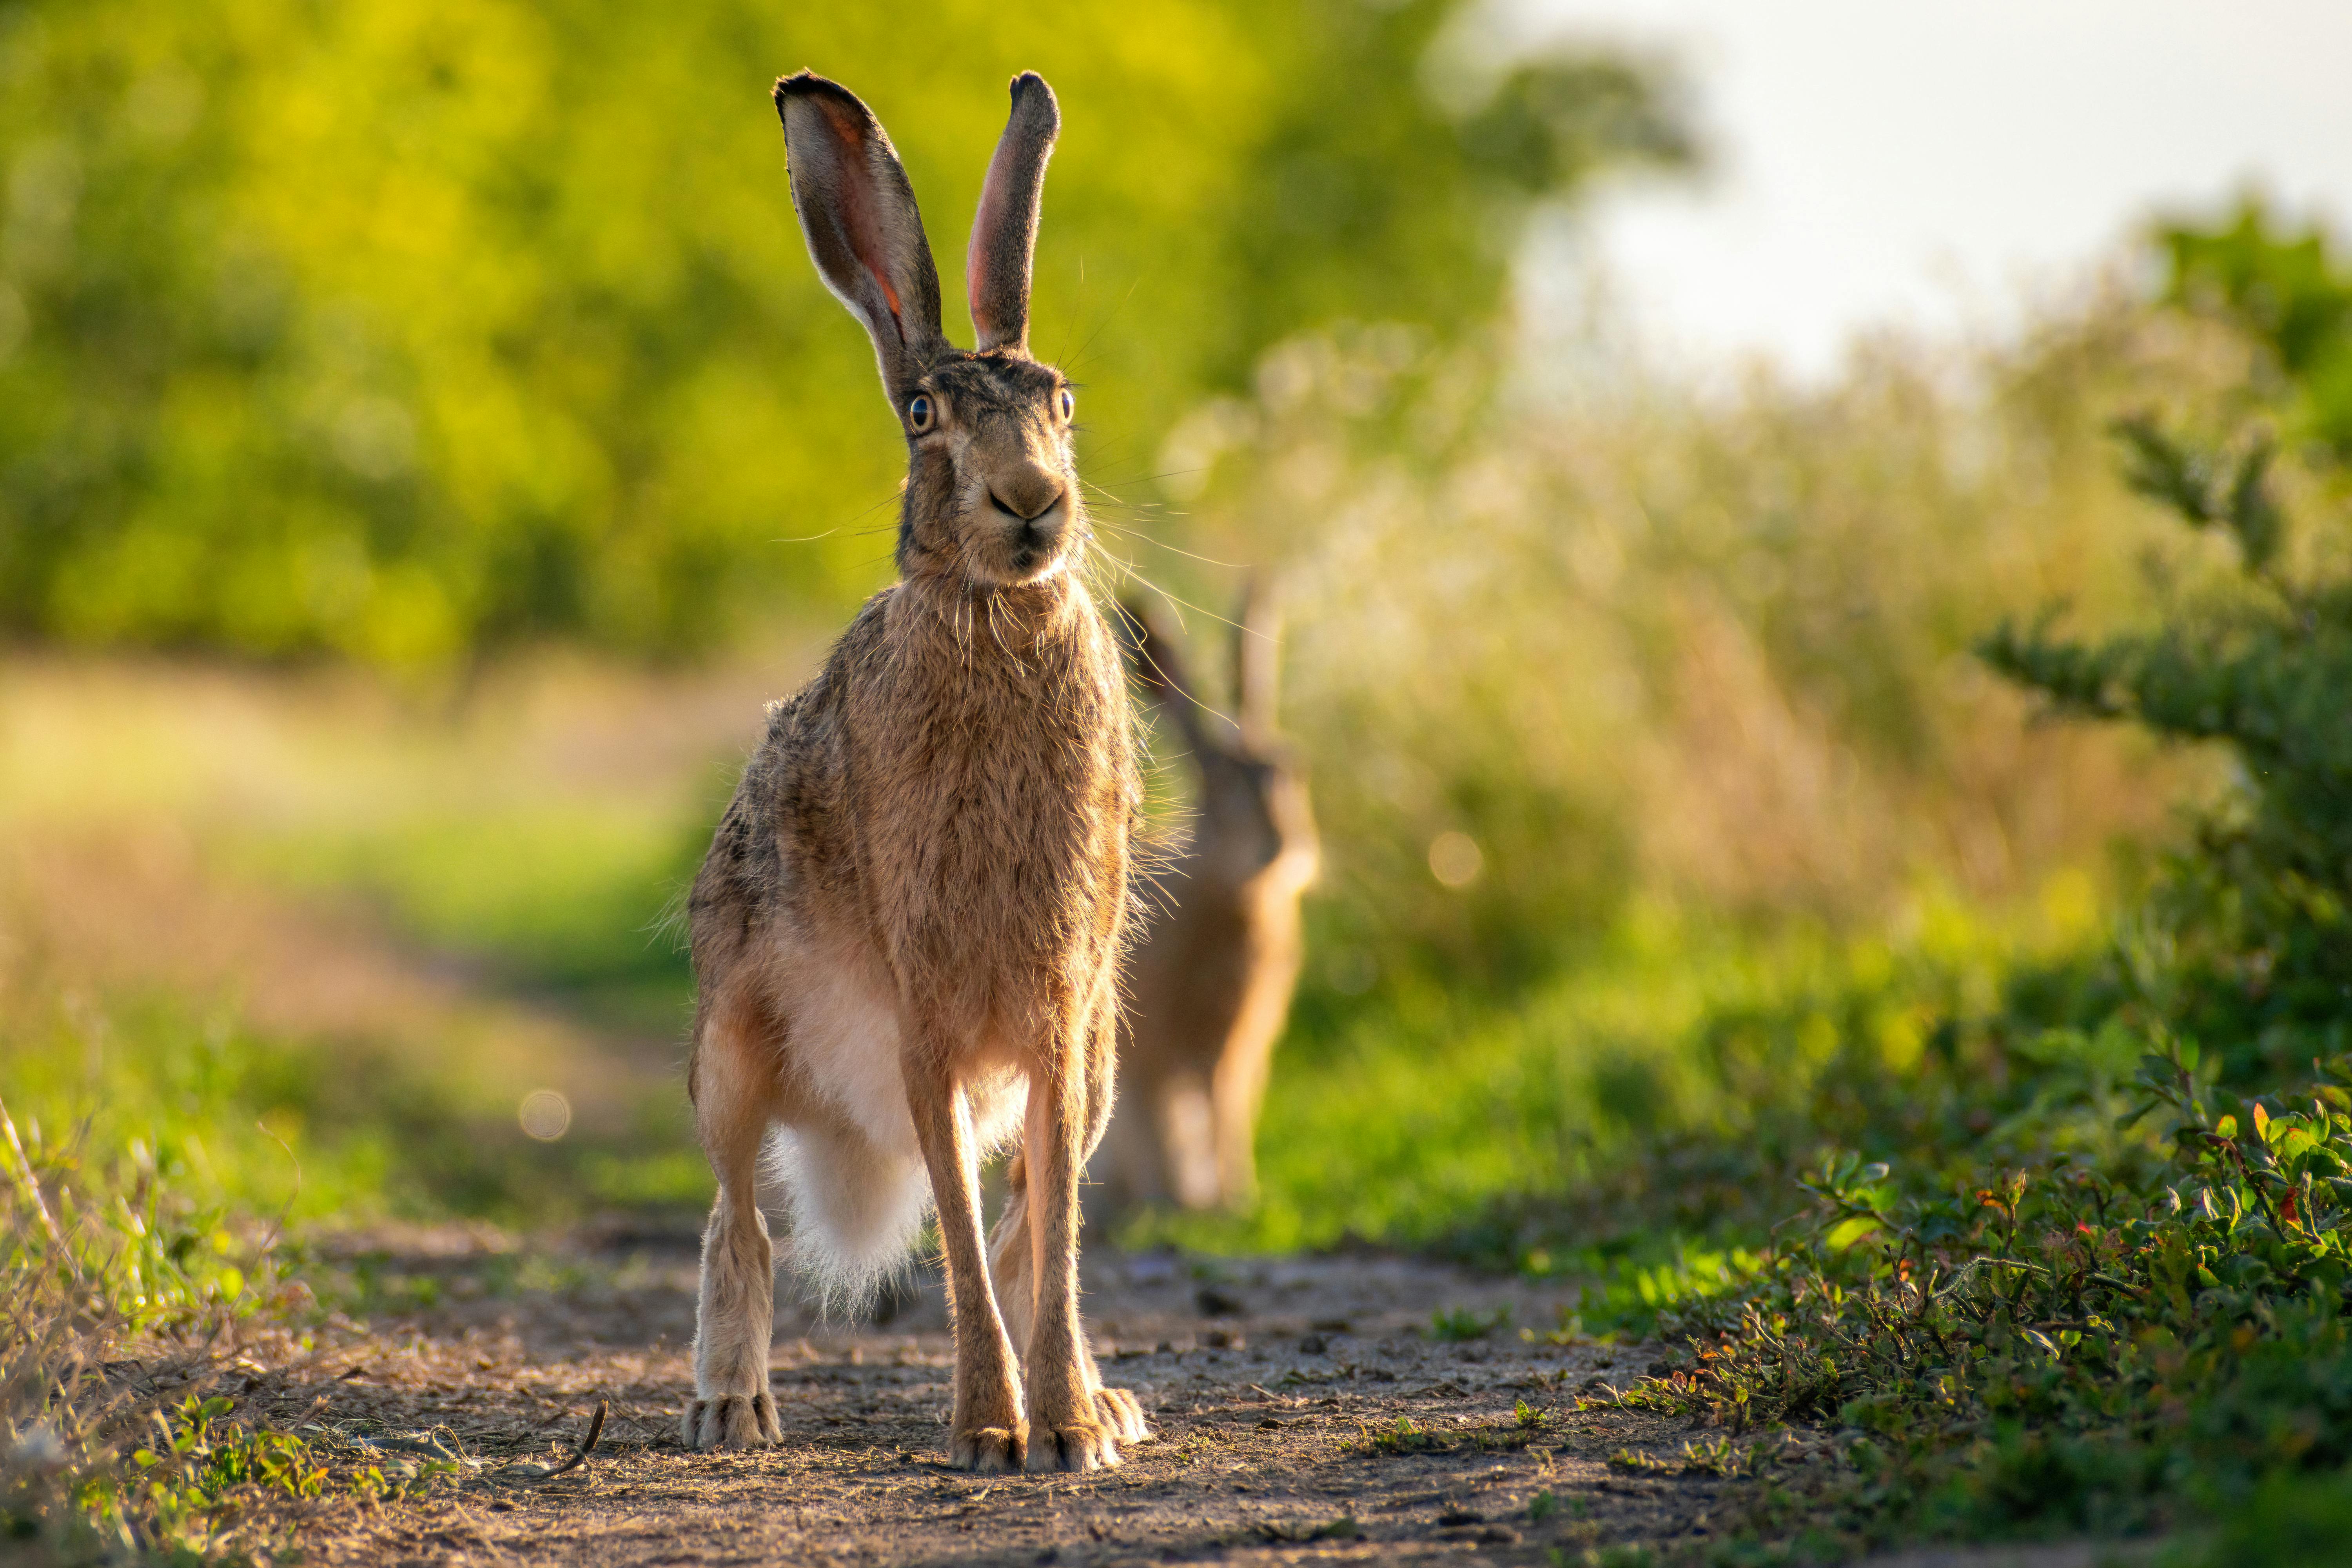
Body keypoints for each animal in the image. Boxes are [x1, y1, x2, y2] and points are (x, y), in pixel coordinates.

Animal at [680, 69, 1146, 1475]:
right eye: (926, 417)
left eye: (1063, 401)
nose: (1031, 501)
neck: (995, 616)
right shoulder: (927, 1013)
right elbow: (964, 1230)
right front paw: (993, 1430)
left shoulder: (1062, 1018)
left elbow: (1045, 1235)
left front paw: (1068, 1431)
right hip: (728, 1047)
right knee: (738, 1217)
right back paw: (730, 1407)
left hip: (1105, 1061)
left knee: (1029, 1219)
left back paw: (1105, 1401)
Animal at [1098, 590, 1318, 1212]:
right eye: (1217, 788)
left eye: (1294, 770)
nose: (1281, 846)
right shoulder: (1147, 1052)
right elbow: (1154, 1128)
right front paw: (1175, 1205)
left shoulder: (1232, 1047)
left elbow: (1226, 1114)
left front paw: (1235, 1199)